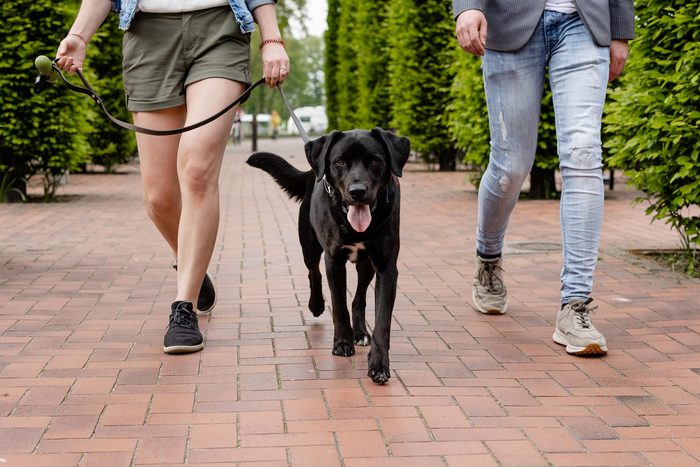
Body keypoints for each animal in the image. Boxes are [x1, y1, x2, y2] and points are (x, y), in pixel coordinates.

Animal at [247, 128, 408, 384]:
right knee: (314, 273)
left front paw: (379, 364)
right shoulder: (334, 261)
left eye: (375, 161)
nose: (357, 192)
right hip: (309, 246)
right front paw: (342, 343)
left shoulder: (386, 267)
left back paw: (360, 333)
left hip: (366, 265)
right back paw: (316, 304)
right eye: (340, 162)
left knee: (358, 298)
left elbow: (382, 321)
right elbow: (338, 304)